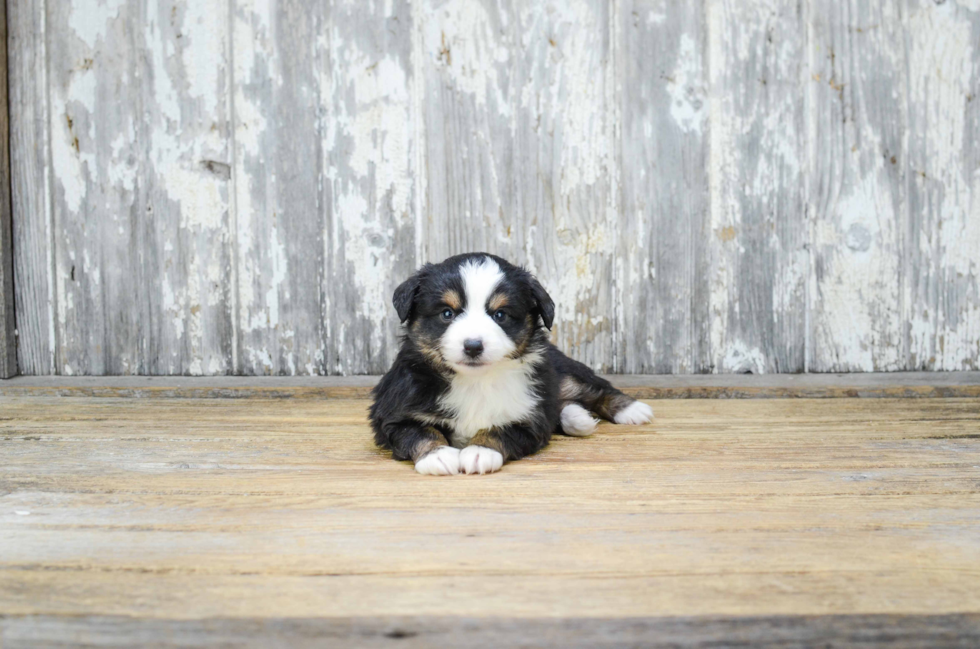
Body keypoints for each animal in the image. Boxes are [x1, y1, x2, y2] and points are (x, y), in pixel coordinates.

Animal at [372, 254, 656, 476]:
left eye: (500, 315)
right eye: (447, 313)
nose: (473, 346)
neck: (475, 380)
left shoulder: (529, 418)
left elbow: (500, 429)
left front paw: (479, 451)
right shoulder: (393, 414)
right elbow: (420, 431)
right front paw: (438, 455)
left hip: (564, 372)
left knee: (594, 389)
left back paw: (632, 410)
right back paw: (576, 417)